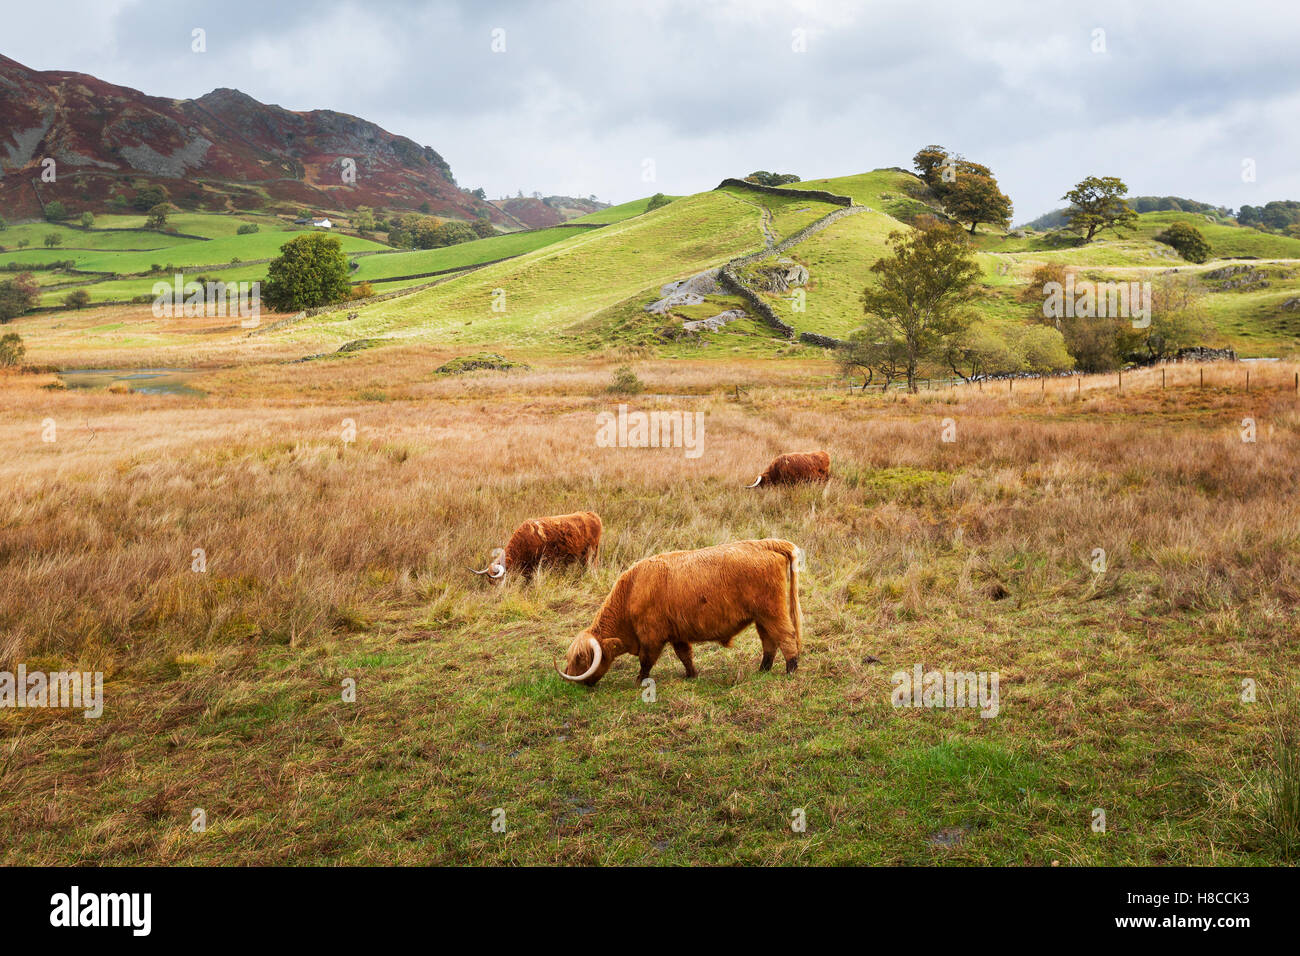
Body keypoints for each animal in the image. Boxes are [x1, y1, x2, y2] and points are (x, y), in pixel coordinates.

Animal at [559, 538, 800, 686]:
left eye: (581, 658)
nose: (569, 677)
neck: (631, 591)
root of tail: (766, 543)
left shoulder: (651, 637)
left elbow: (646, 661)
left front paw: (639, 681)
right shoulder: (677, 635)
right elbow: (685, 656)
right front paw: (692, 675)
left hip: (773, 612)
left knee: (786, 637)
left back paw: (791, 670)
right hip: (762, 617)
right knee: (769, 642)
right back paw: (763, 670)